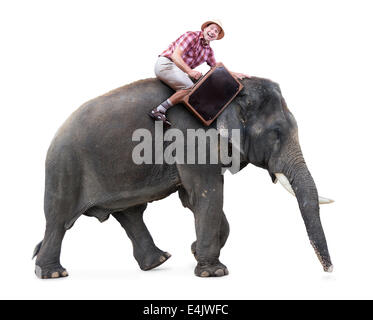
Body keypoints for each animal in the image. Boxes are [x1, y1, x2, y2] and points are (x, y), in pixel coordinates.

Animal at [32, 75, 332, 278]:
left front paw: (195, 251)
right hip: (65, 168)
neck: (234, 93)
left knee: (130, 214)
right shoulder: (193, 139)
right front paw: (214, 272)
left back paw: (158, 262)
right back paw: (52, 274)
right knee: (59, 219)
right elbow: (208, 193)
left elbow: (192, 199)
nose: (329, 270)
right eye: (276, 133)